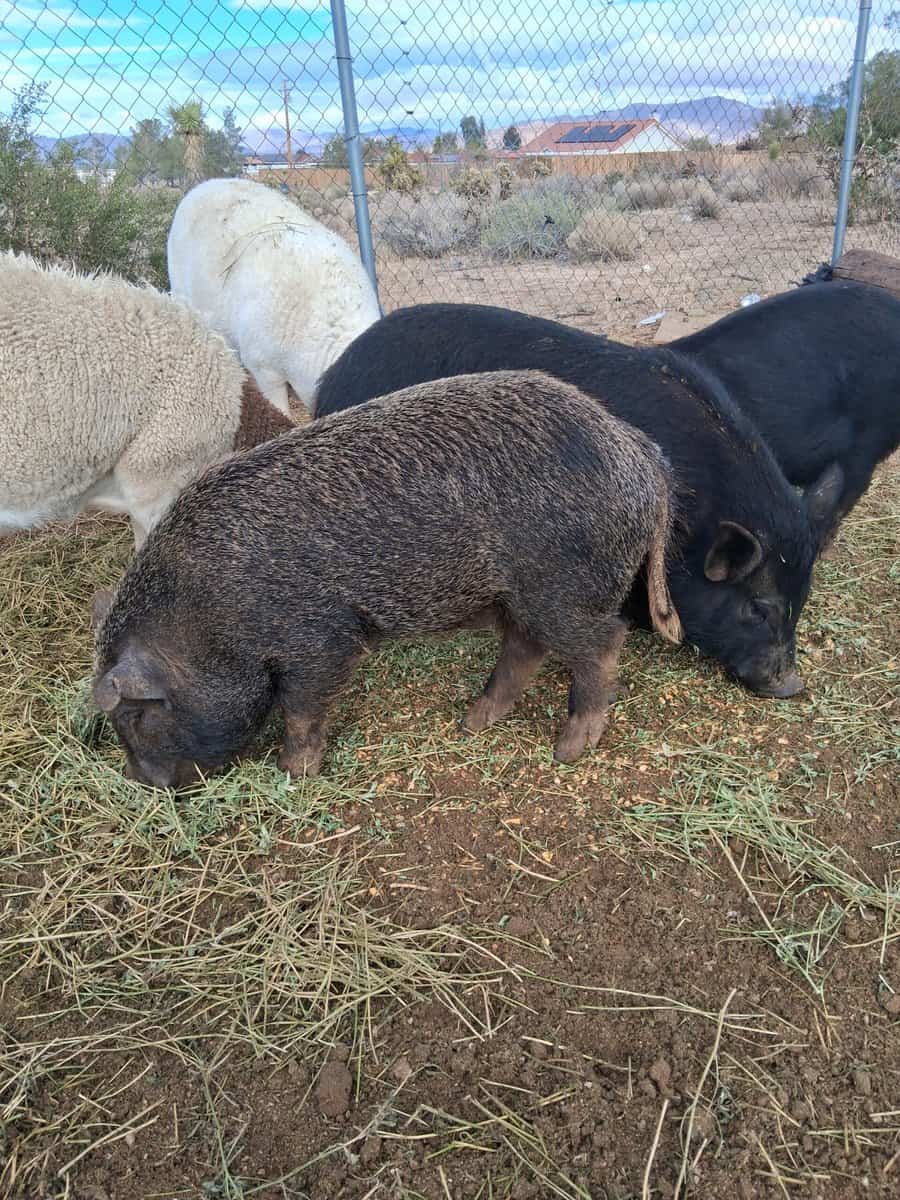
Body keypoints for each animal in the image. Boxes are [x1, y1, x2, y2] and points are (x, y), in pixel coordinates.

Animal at [92, 370, 681, 787]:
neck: (206, 613)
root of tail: (640, 453)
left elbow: (301, 708)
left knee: (603, 643)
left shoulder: (320, 639)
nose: (142, 782)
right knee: (525, 647)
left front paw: (293, 774)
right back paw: (472, 722)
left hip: (563, 585)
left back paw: (567, 750)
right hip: (518, 594)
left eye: (139, 717)